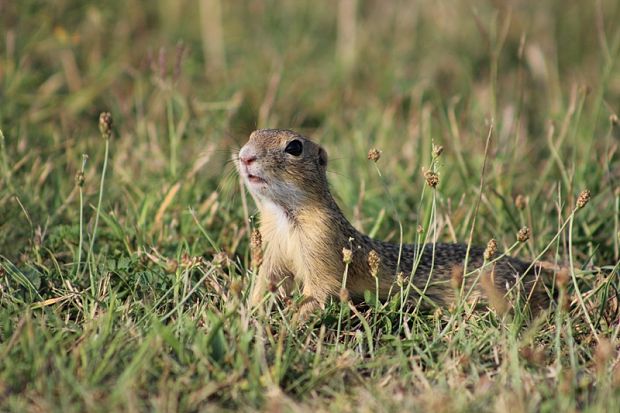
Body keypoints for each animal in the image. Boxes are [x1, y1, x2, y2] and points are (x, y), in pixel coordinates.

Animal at [236, 129, 548, 318]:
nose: (244, 155)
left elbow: (319, 292)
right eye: (252, 134)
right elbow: (266, 283)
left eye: (294, 147)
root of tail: (521, 264)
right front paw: (249, 313)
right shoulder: (272, 250)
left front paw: (287, 326)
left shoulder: (321, 245)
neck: (284, 215)